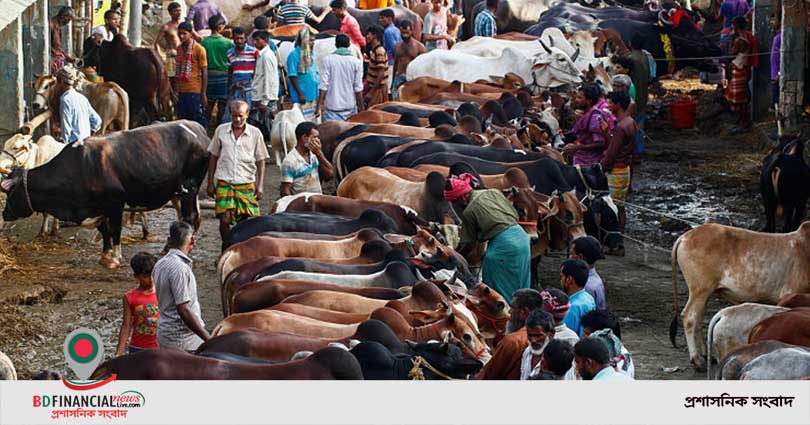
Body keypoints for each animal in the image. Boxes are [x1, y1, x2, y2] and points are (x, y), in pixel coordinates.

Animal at [0, 120, 208, 264]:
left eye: (10, 192)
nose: (5, 213)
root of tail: (197, 127)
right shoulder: (97, 207)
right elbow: (104, 229)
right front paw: (105, 255)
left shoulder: (115, 202)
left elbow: (114, 228)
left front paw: (115, 258)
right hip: (176, 192)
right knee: (183, 218)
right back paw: (167, 247)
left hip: (189, 187)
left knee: (189, 217)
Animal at [664, 220, 808, 370]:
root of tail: (686, 236)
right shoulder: (792, 292)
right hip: (700, 289)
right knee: (690, 317)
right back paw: (696, 360)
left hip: (705, 293)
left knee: (699, 318)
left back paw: (706, 355)